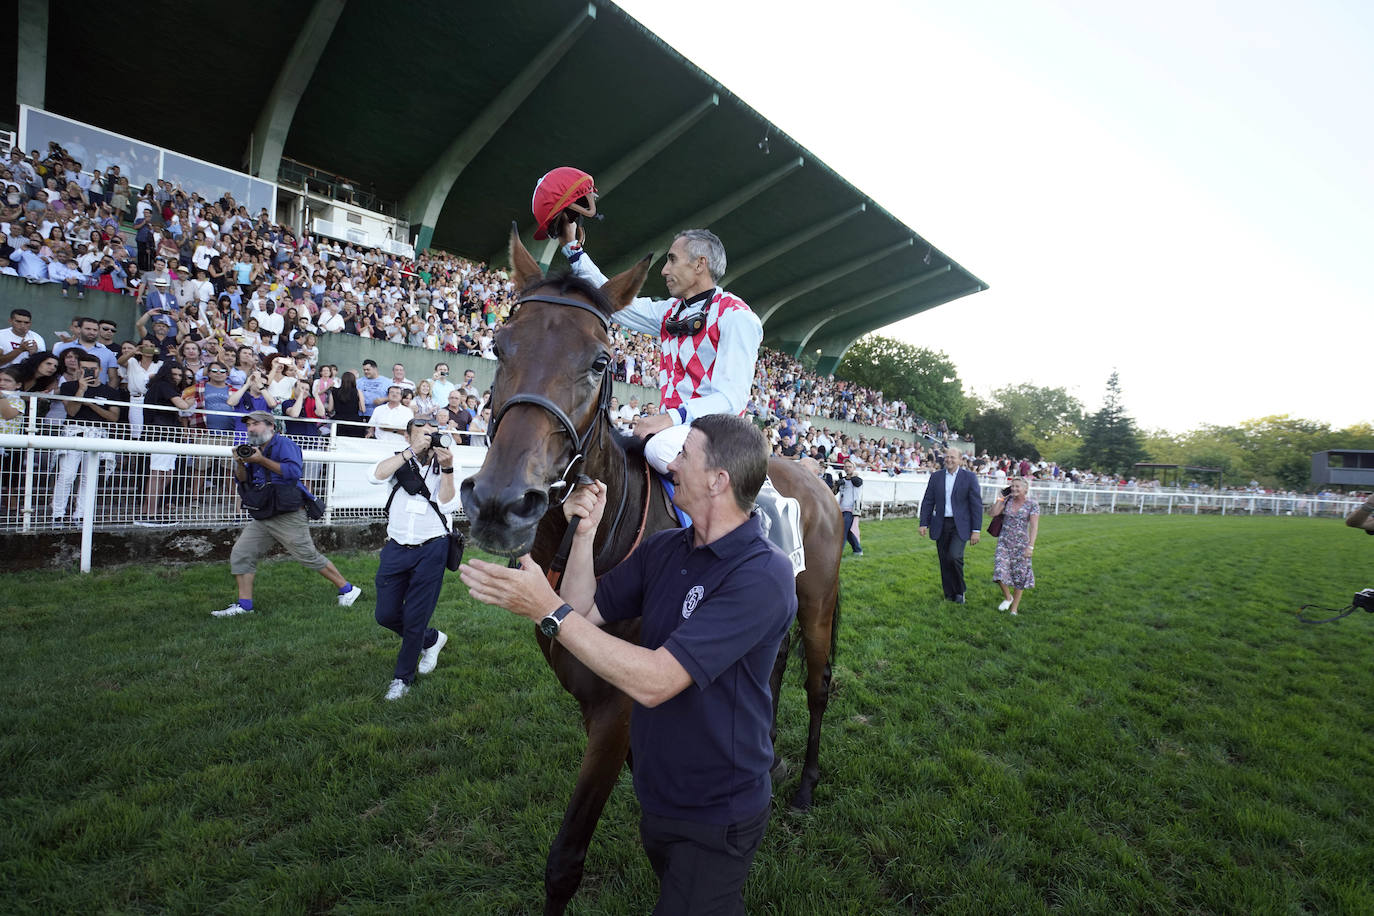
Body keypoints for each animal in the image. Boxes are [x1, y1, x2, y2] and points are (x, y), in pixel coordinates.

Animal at [461, 223, 840, 916]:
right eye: (498, 347)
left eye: (600, 362)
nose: (501, 502)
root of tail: (818, 478)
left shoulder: (619, 708)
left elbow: (566, 860)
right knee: (770, 670)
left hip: (820, 605)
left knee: (818, 684)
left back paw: (802, 787)